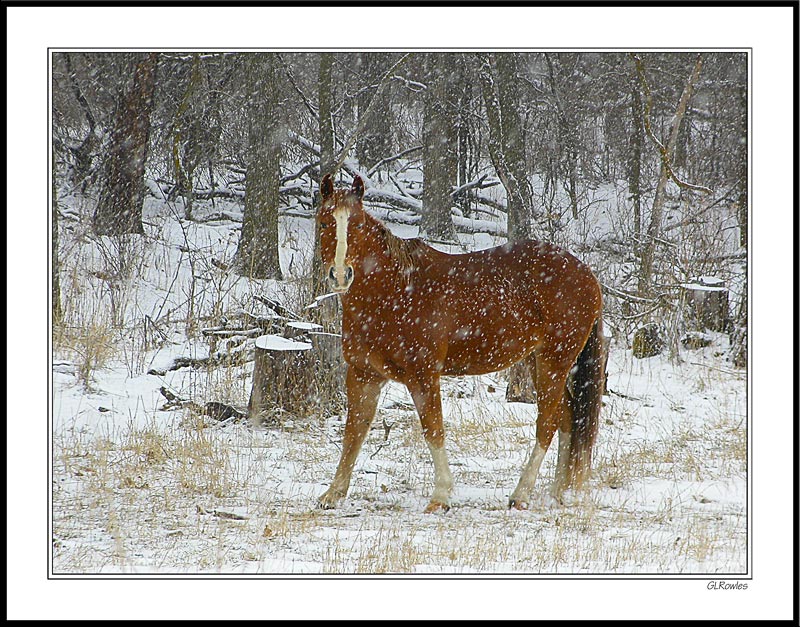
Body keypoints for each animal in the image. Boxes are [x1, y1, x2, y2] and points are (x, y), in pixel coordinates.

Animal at [316, 174, 604, 512]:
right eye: (324, 222)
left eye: (358, 224)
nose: (340, 275)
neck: (394, 291)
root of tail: (586, 273)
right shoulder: (363, 375)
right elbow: (354, 433)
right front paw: (334, 493)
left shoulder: (423, 375)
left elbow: (433, 430)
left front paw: (440, 496)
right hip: (540, 361)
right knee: (569, 418)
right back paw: (559, 491)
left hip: (553, 361)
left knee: (548, 423)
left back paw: (522, 494)